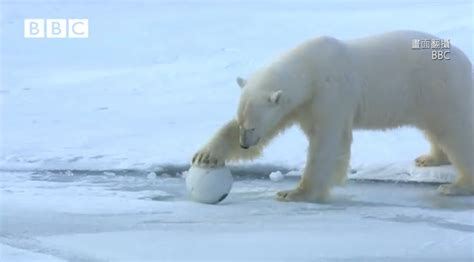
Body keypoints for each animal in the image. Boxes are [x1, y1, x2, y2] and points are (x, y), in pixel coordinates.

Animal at [191, 31, 472, 203]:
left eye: (251, 127)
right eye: (242, 123)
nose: (244, 144)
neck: (309, 67)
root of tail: (466, 62)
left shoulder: (330, 92)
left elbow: (327, 140)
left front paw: (295, 193)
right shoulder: (300, 103)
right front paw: (205, 156)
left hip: (442, 89)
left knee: (456, 133)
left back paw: (456, 186)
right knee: (436, 129)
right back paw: (429, 158)